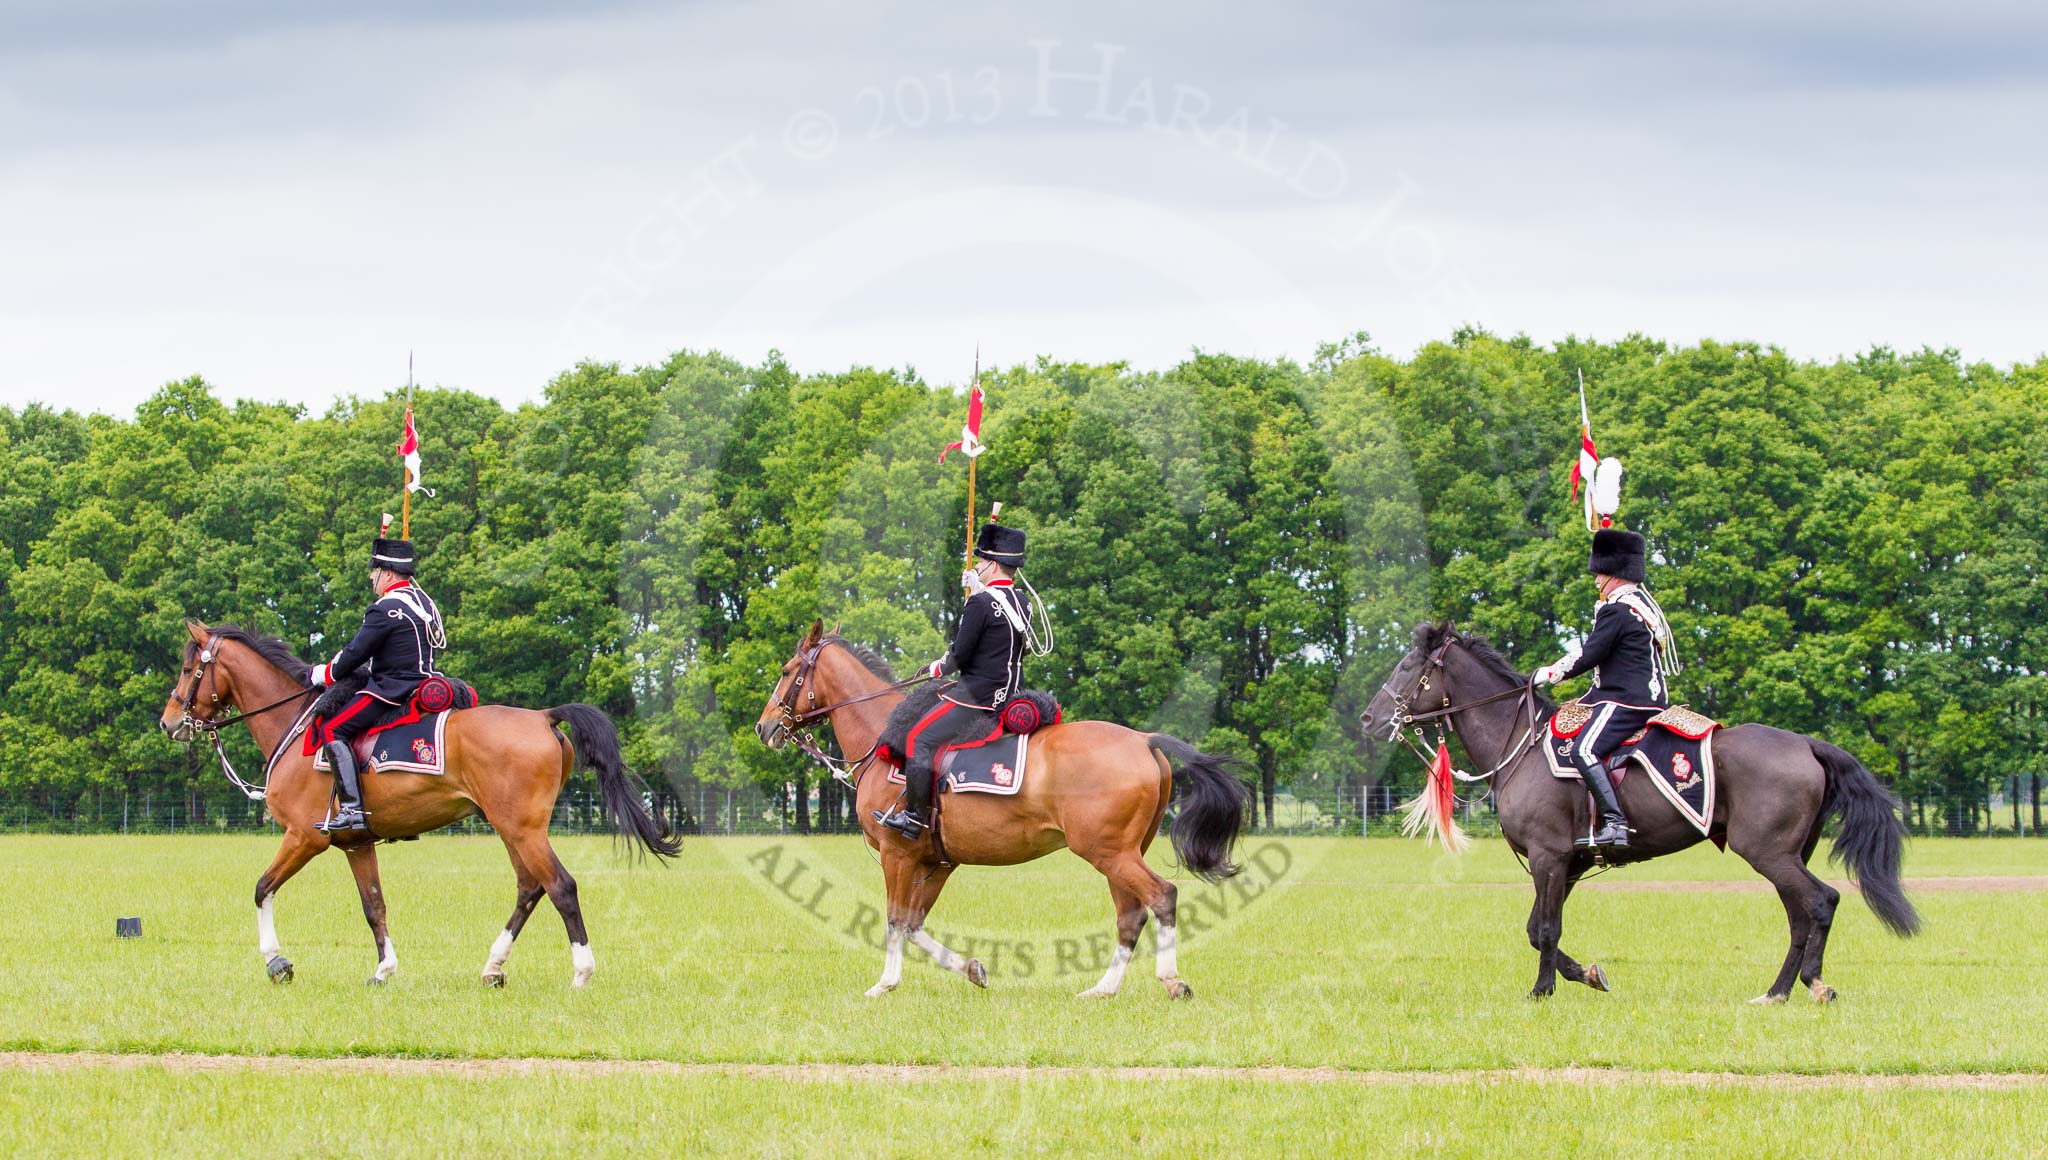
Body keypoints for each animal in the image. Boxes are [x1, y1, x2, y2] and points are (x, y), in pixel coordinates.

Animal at [161, 627, 671, 991]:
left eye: (188, 669)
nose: (168, 724)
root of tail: (543, 716)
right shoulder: (356, 844)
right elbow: (374, 905)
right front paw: (383, 969)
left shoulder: (304, 837)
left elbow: (262, 888)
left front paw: (276, 962)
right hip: (511, 829)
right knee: (530, 889)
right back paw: (493, 967)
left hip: (523, 829)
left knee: (561, 887)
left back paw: (581, 973)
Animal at [761, 623, 1253, 1004]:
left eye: (786, 672)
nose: (764, 727)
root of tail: (1143, 739)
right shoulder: (937, 861)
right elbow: (916, 924)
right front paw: (972, 969)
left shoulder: (896, 854)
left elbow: (896, 919)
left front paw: (885, 983)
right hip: (1120, 854)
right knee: (1131, 914)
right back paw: (1103, 989)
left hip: (1108, 852)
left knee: (1162, 896)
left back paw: (1170, 981)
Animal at [1359, 627, 1916, 1008]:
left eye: (1408, 666)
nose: (1368, 718)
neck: (1522, 745)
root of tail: (1805, 743)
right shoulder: (1567, 864)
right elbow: (1539, 928)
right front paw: (1587, 975)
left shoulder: (1547, 857)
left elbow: (1545, 930)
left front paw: (1542, 991)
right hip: (1784, 856)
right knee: (1800, 917)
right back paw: (1775, 993)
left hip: (1769, 853)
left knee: (1821, 902)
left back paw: (1814, 984)